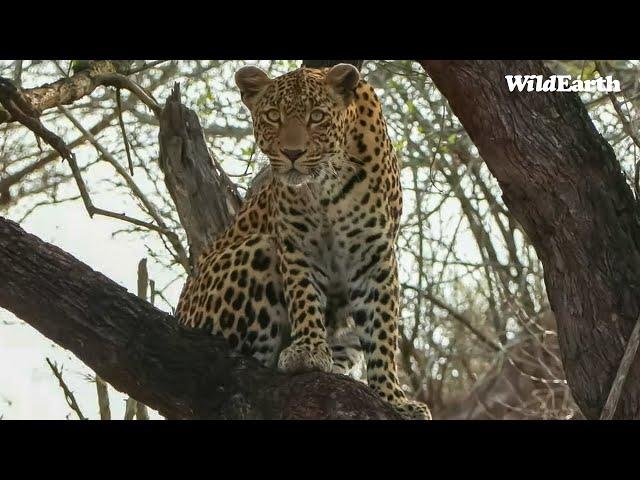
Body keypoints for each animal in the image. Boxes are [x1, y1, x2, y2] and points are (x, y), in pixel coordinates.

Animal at [176, 62, 430, 420]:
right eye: (273, 116)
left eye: (317, 117)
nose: (293, 153)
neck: (327, 184)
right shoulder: (296, 244)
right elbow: (304, 296)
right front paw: (307, 351)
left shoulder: (374, 255)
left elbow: (381, 331)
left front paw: (393, 398)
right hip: (257, 251)